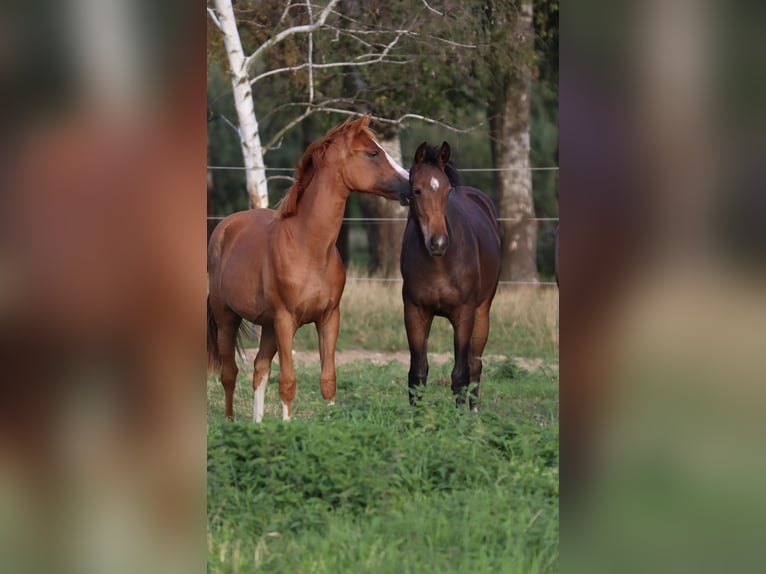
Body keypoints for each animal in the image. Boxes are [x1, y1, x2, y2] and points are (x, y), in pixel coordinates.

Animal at [207, 115, 410, 421]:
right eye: (373, 153)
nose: (411, 185)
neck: (309, 249)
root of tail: (224, 227)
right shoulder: (285, 320)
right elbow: (288, 382)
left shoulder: (329, 319)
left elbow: (328, 380)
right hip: (227, 317)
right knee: (230, 373)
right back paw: (231, 423)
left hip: (267, 325)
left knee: (259, 369)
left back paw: (257, 425)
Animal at [399, 141, 501, 411]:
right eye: (417, 190)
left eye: (446, 192)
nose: (438, 243)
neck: (439, 264)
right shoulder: (415, 312)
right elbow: (418, 374)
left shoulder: (464, 314)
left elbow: (460, 374)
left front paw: (458, 418)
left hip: (482, 313)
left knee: (475, 364)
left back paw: (474, 411)